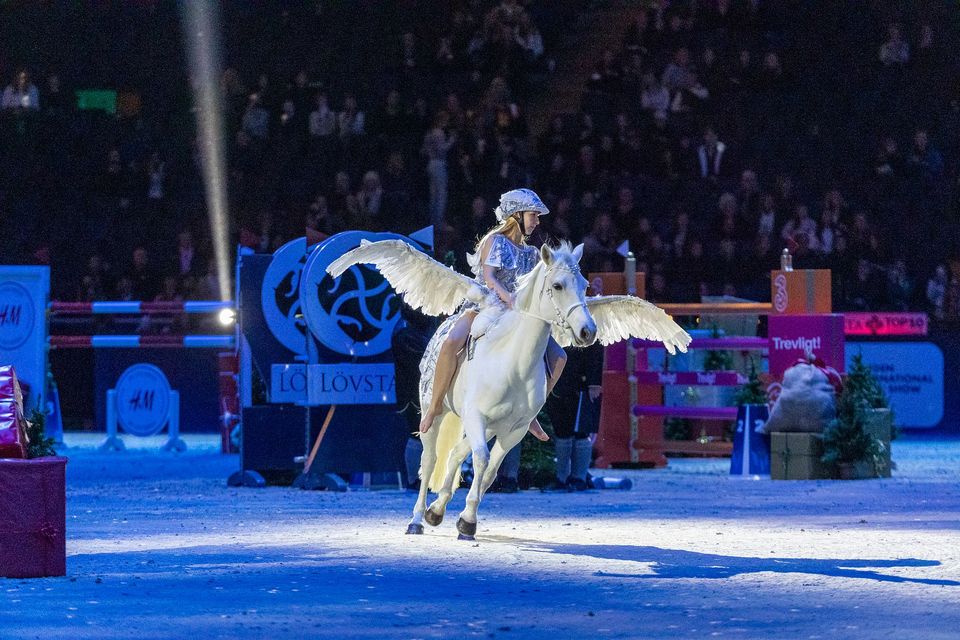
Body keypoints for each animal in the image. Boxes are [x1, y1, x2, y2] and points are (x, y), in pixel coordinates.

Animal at [328, 240, 691, 539]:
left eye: (586, 286)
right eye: (557, 285)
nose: (588, 331)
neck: (512, 364)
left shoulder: (513, 429)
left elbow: (490, 470)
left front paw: (466, 519)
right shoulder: (476, 416)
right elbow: (481, 460)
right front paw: (463, 522)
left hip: (486, 426)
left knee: (457, 454)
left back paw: (437, 510)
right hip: (437, 412)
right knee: (429, 459)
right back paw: (417, 518)